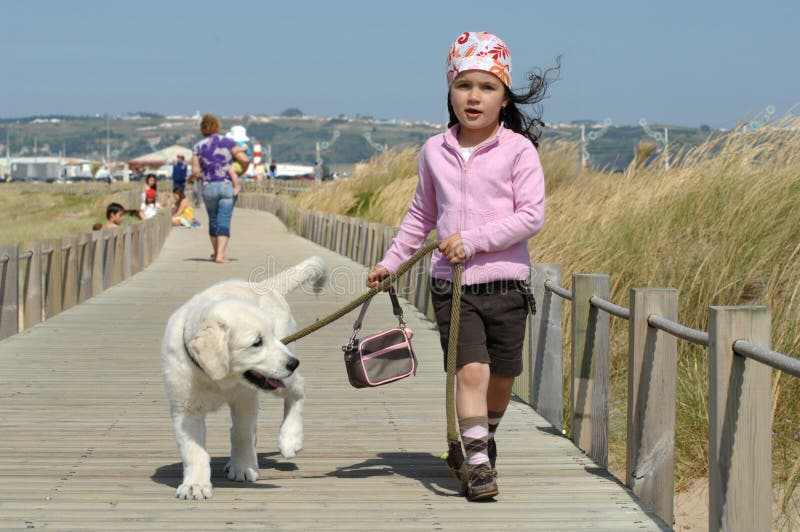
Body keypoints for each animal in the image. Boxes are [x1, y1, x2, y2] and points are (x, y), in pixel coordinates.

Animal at [162, 256, 324, 498]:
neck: (216, 378)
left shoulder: (245, 399)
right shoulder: (185, 409)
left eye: (271, 336)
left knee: (298, 390)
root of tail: (266, 285)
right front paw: (195, 484)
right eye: (257, 342)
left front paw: (244, 467)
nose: (294, 363)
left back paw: (290, 438)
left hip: (281, 378)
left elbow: (242, 433)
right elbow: (193, 450)